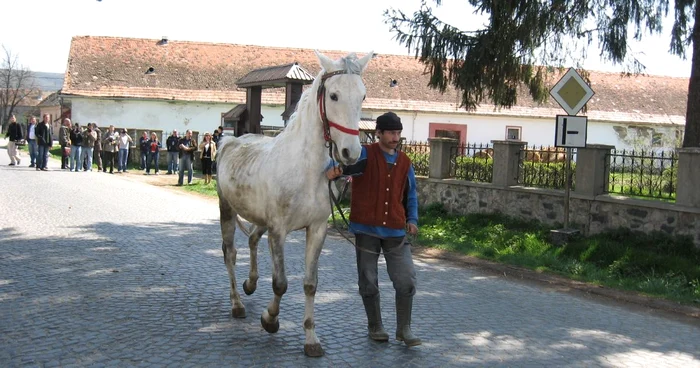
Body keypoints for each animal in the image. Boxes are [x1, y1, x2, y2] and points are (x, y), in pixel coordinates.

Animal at [217, 49, 372, 356]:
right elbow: (280, 283)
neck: (306, 170)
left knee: (252, 239)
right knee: (230, 254)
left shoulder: (317, 229)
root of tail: (229, 142)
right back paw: (237, 303)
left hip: (259, 218)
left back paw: (251, 283)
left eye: (362, 96)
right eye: (334, 95)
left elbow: (310, 284)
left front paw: (311, 339)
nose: (351, 153)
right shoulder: (279, 230)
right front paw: (270, 319)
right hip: (226, 210)